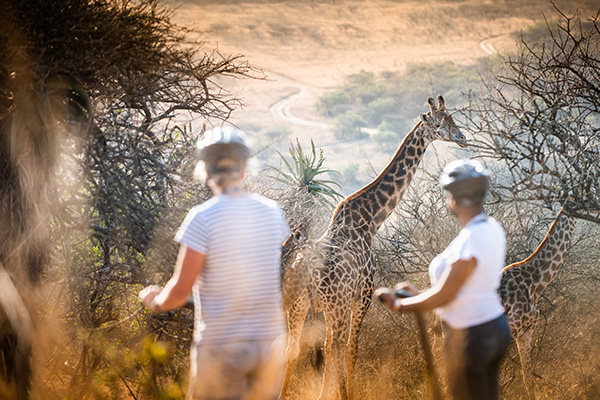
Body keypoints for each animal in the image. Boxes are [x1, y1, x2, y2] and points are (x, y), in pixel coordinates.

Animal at [284, 95, 466, 398]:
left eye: (453, 118)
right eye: (440, 124)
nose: (462, 138)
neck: (372, 219)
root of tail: (306, 272)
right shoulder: (363, 297)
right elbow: (351, 350)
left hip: (298, 306)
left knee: (293, 349)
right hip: (334, 306)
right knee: (335, 349)